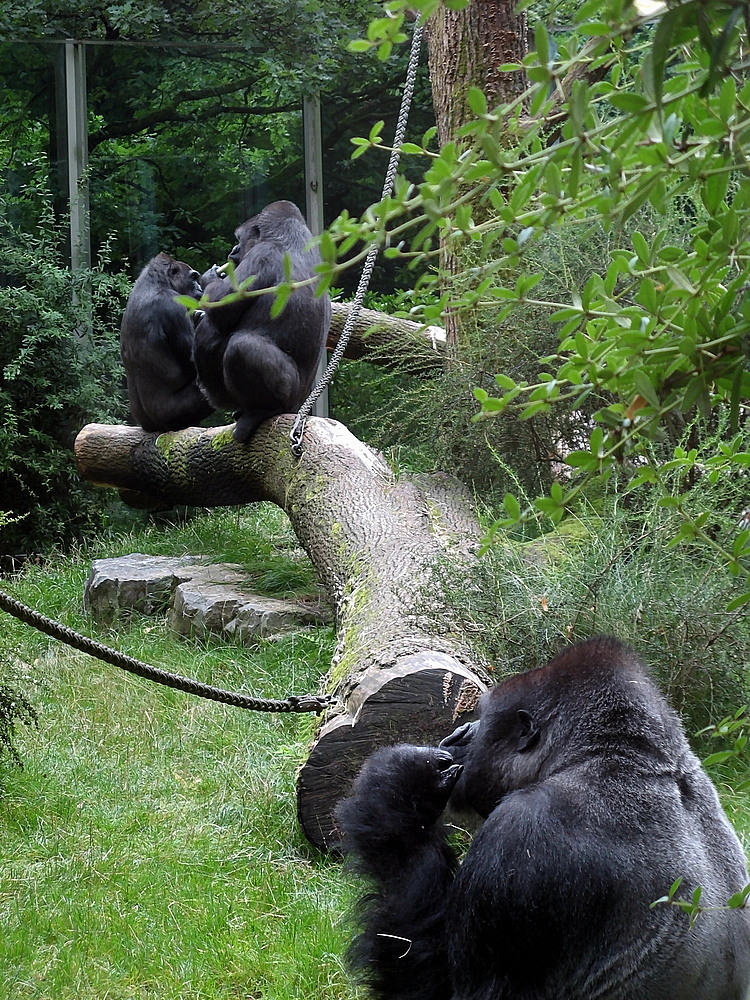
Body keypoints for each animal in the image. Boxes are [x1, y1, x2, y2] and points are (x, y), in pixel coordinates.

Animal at [119, 252, 214, 432]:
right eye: (193, 278)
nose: (200, 288)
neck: (156, 282)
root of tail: (150, 427)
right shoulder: (175, 304)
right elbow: (196, 363)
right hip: (169, 419)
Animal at [195, 201, 330, 444]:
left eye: (239, 239)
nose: (234, 250)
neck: (292, 236)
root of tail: (298, 408)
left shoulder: (262, 254)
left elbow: (219, 308)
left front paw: (210, 278)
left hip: (289, 399)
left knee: (240, 346)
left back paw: (261, 411)